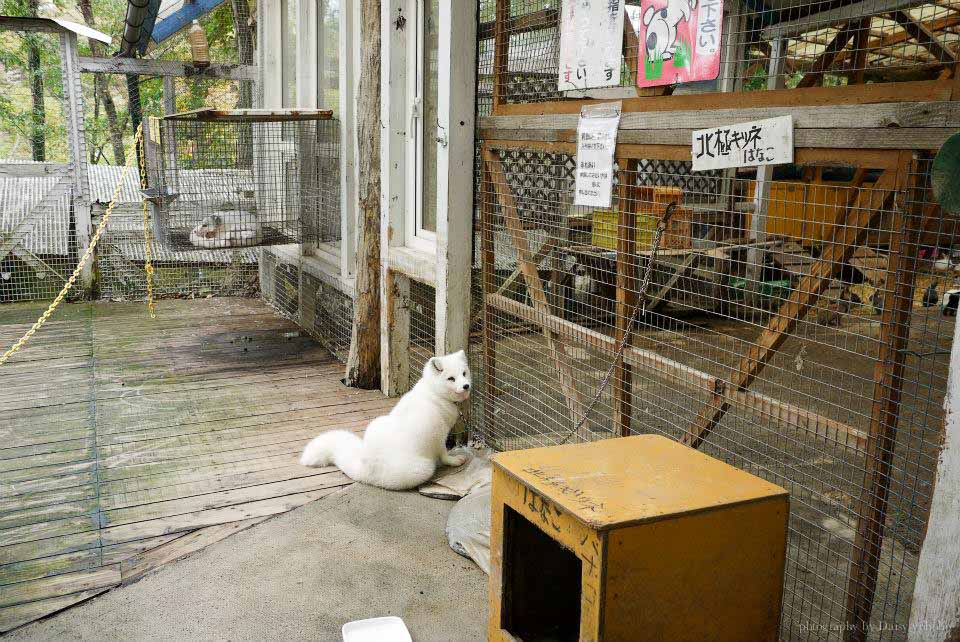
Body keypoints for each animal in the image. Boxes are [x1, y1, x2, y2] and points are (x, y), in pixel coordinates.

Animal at [296, 350, 468, 490]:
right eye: (451, 378)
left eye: (464, 373)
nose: (466, 386)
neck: (435, 394)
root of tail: (363, 470)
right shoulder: (438, 435)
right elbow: (444, 454)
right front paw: (454, 461)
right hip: (424, 469)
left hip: (376, 423)